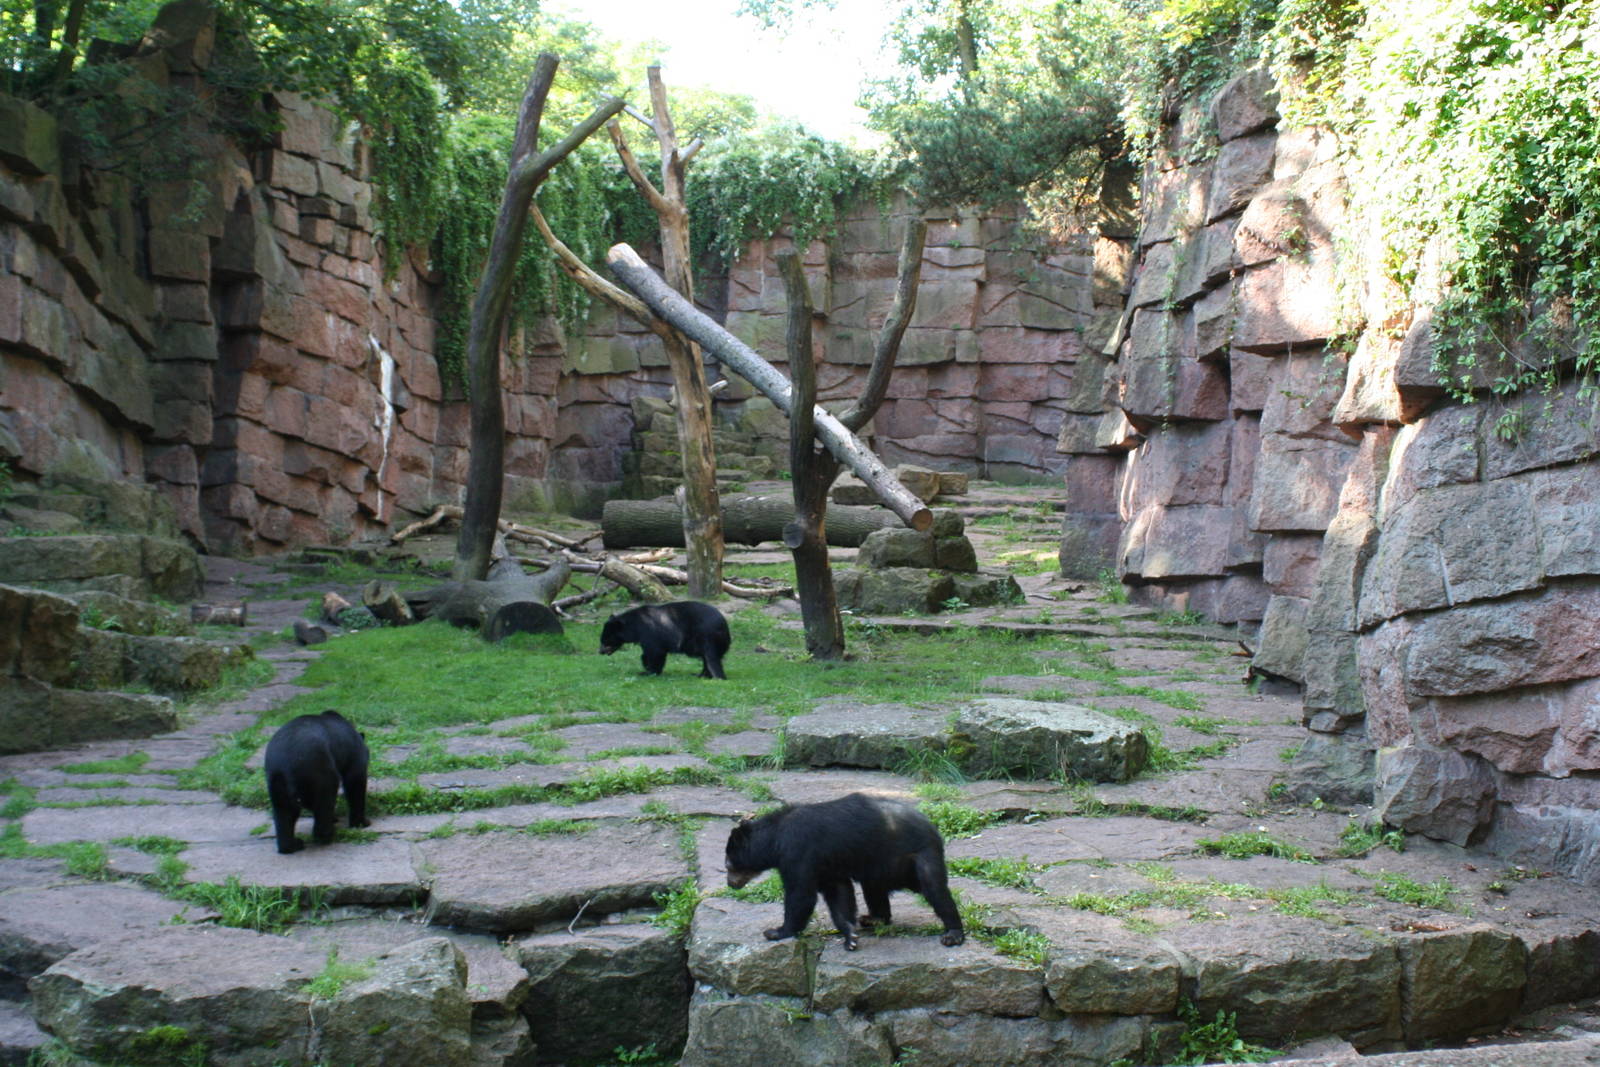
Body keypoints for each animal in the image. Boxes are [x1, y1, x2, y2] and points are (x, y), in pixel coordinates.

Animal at [263, 709, 370, 855]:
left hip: (276, 781)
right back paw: (327, 835)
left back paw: (292, 845)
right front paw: (361, 823)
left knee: (283, 812)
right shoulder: (353, 753)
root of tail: (286, 764)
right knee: (324, 800)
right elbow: (355, 781)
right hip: (318, 770)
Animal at [599, 600, 730, 679]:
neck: (635, 627)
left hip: (707, 636)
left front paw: (648, 672)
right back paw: (702, 674)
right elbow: (649, 653)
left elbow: (655, 652)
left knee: (710, 657)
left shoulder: (650, 632)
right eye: (602, 640)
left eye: (606, 640)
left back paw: (715, 675)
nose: (600, 651)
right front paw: (647, 668)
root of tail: (724, 624)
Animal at [724, 792, 964, 950]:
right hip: (880, 865)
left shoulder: (798, 851)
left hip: (918, 854)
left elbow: (801, 894)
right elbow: (839, 893)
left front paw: (776, 931)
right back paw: (874, 918)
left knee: (934, 888)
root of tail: (932, 826)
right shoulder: (827, 864)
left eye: (728, 865)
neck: (775, 837)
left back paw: (953, 934)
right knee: (873, 888)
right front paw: (850, 935)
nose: (730, 883)